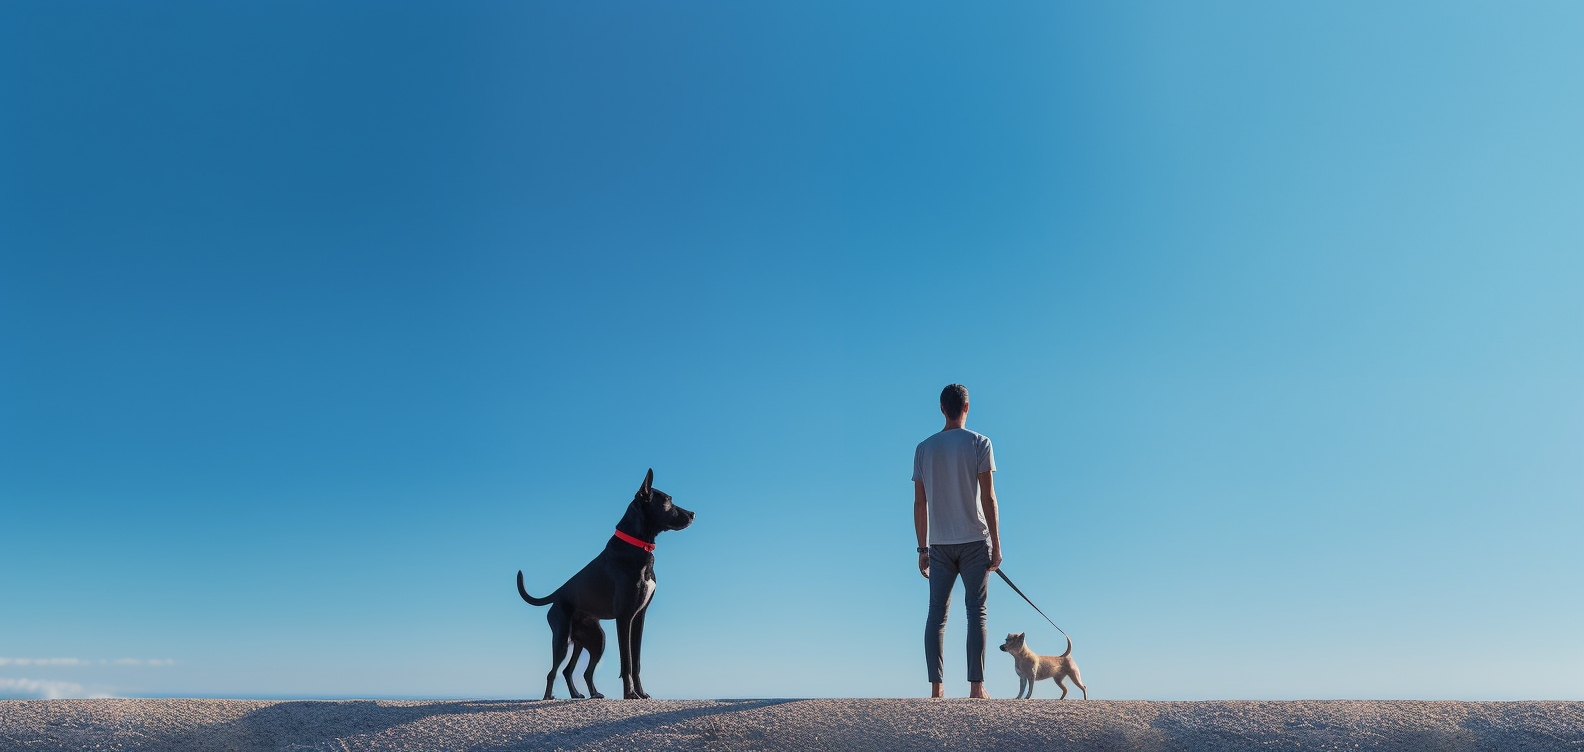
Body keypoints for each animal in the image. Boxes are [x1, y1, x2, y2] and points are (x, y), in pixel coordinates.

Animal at [519, 468, 693, 702]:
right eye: (667, 501)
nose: (693, 514)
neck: (638, 547)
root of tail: (558, 593)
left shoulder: (639, 617)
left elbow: (636, 662)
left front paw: (640, 693)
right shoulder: (625, 618)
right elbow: (626, 662)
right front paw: (630, 694)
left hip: (593, 639)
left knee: (573, 670)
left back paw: (584, 694)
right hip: (562, 638)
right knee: (553, 671)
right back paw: (548, 697)